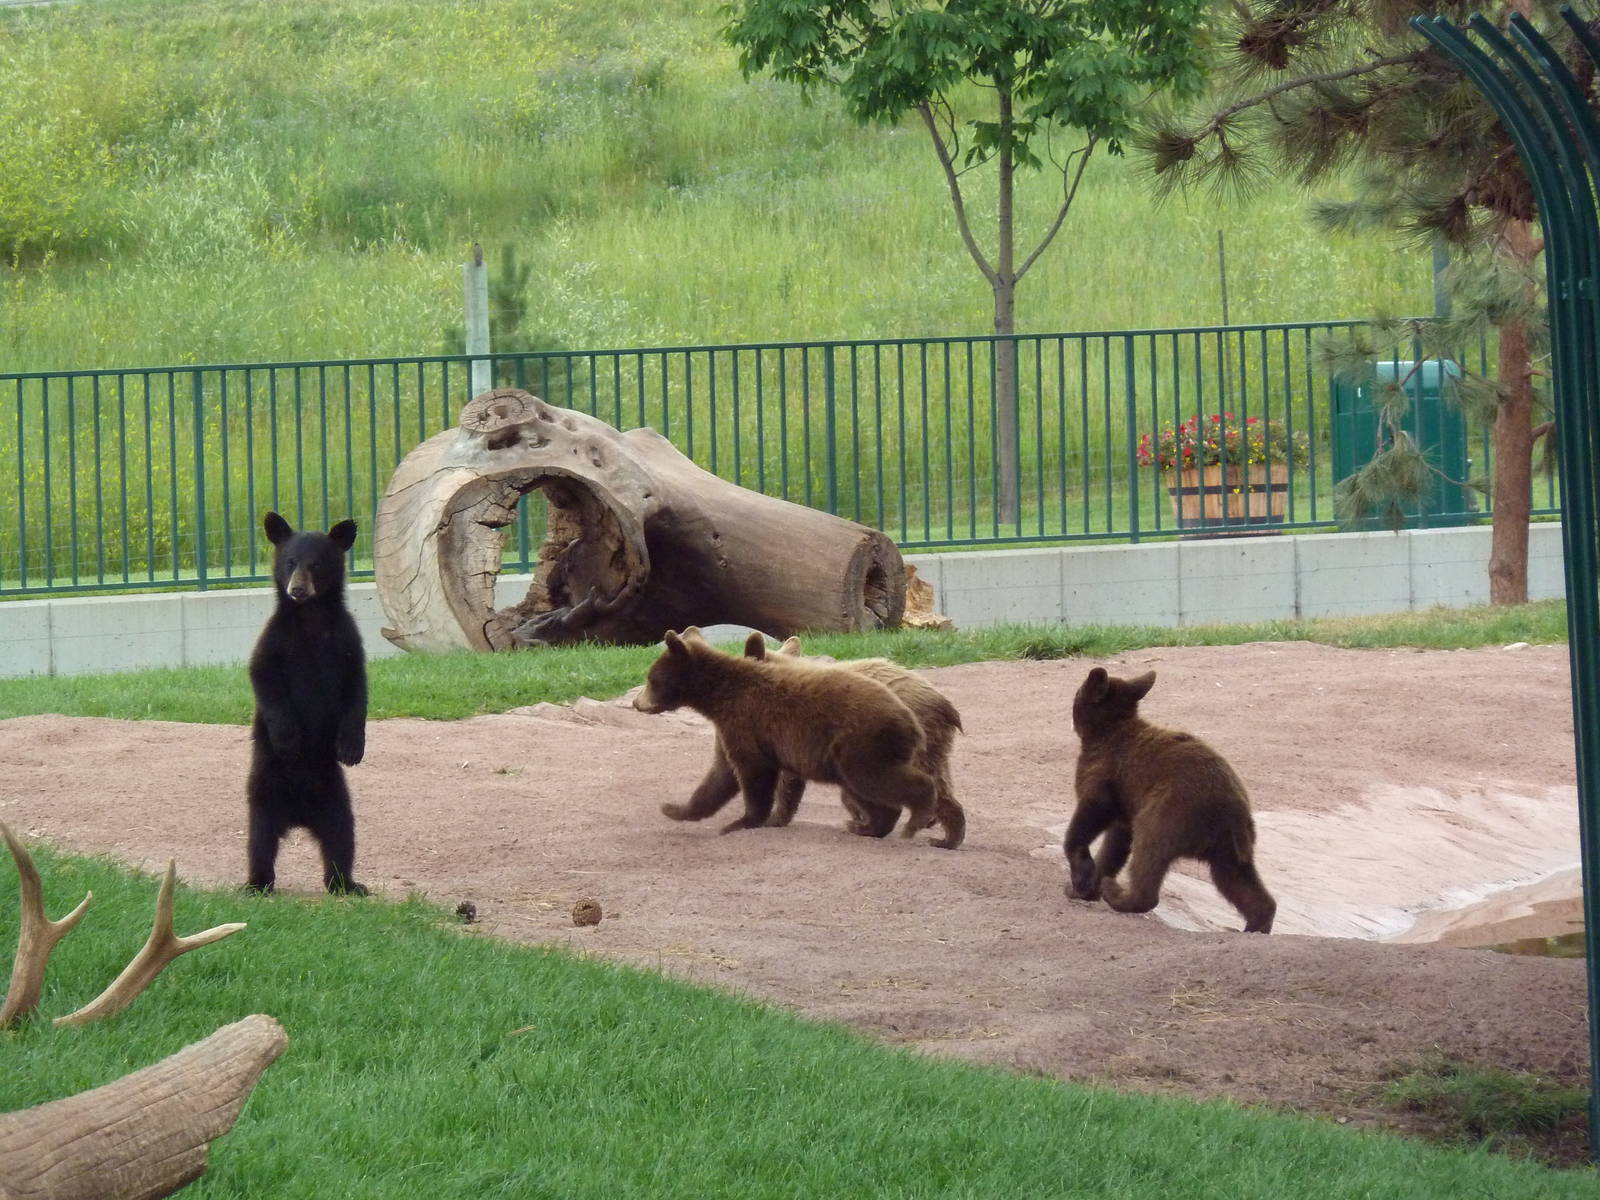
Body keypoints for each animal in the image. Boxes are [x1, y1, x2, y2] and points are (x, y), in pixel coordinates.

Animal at [245, 511, 369, 896]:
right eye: (289, 562)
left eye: (315, 564)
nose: (297, 589)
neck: (311, 617)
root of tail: (299, 817)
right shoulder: (276, 639)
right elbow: (264, 677)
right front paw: (288, 739)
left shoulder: (347, 641)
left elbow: (357, 689)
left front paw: (352, 747)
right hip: (264, 794)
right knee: (260, 841)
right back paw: (257, 883)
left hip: (336, 800)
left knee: (342, 838)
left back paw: (346, 884)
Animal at [1063, 666, 1275, 933]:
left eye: (1077, 692)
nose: (1073, 698)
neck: (1106, 732)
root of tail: (1232, 810)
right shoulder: (1126, 808)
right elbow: (1114, 845)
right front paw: (1085, 887)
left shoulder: (1102, 775)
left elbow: (1088, 817)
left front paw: (1081, 878)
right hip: (1228, 848)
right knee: (1238, 882)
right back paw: (1256, 925)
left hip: (1167, 811)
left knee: (1149, 854)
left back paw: (1117, 893)